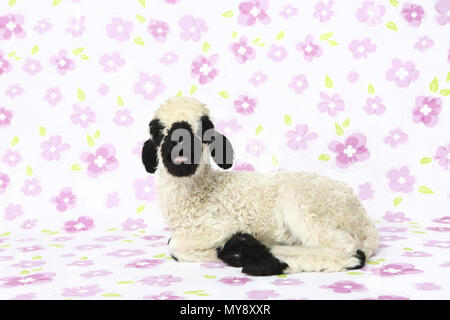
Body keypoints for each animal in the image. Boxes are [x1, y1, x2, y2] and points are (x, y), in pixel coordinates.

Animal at [142, 96, 380, 276]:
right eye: (158, 131)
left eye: (204, 129)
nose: (180, 142)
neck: (204, 190)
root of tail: (366, 224)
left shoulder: (219, 224)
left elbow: (175, 246)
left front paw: (221, 250)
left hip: (303, 204)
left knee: (350, 253)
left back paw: (262, 260)